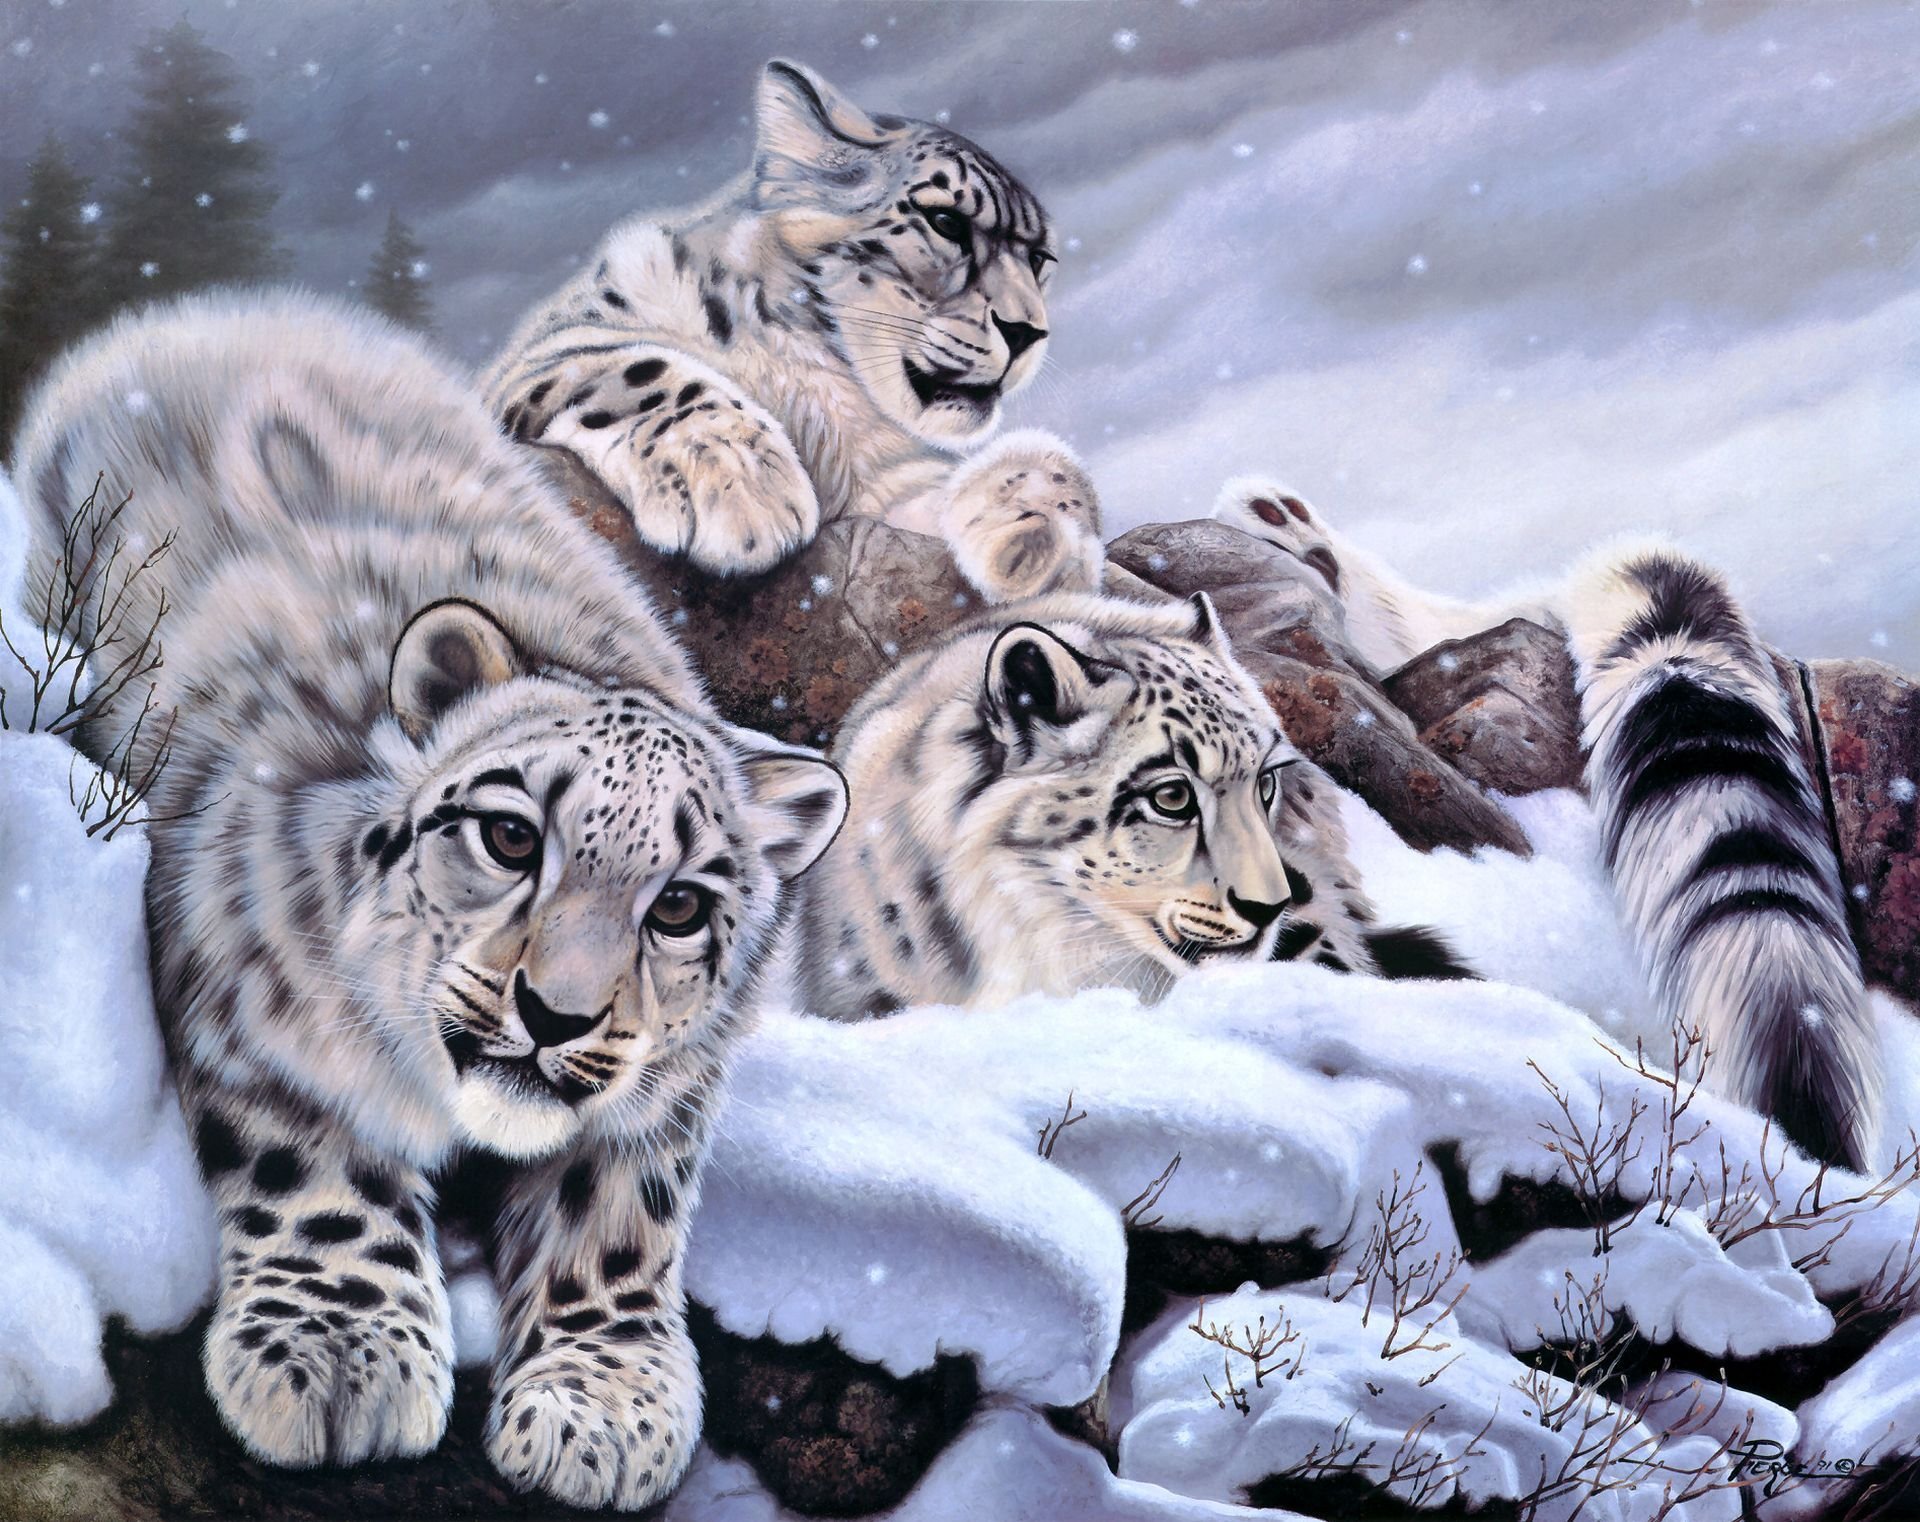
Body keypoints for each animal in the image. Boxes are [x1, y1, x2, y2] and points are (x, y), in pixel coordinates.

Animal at [10, 291, 847, 1510]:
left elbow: (621, 1201)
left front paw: (602, 1404)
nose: (555, 1013)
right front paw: (339, 1353)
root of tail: (199, 315)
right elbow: (315, 1145)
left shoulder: (664, 1086)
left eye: (681, 907)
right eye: (510, 836)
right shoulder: (239, 960)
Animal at [482, 58, 1104, 605]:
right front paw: (737, 480)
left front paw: (1040, 529)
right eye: (945, 220)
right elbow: (635, 365)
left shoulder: (884, 487)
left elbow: (1030, 470)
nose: (1027, 332)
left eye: (1040, 258)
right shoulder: (542, 356)